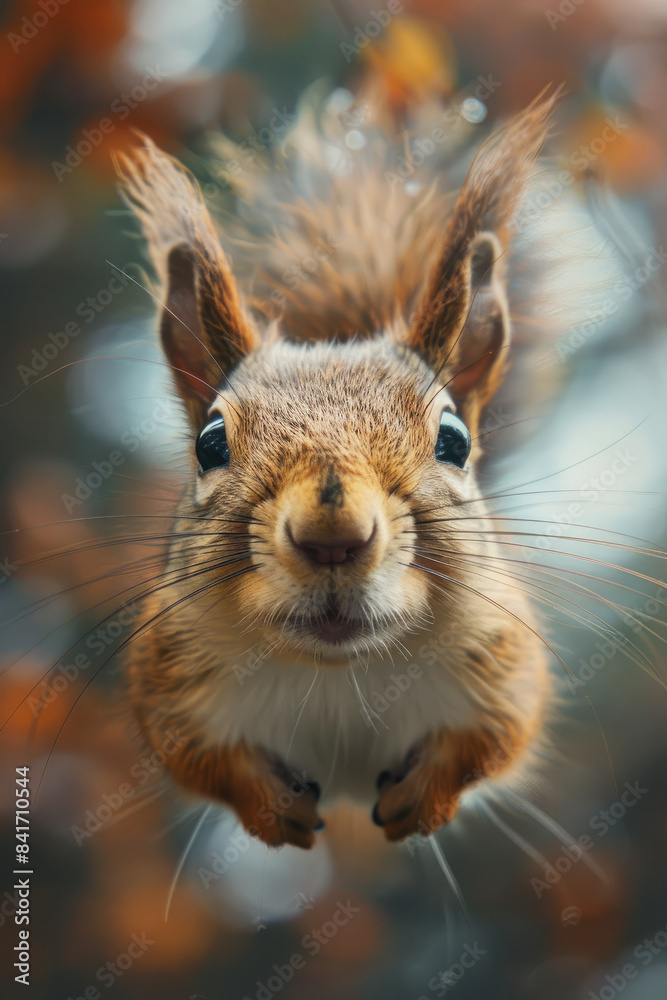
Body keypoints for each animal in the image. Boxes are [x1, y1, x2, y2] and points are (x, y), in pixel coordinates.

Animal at [116, 89, 557, 850]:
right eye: (209, 444)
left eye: (454, 440)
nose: (333, 537)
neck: (337, 675)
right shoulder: (167, 675)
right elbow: (198, 758)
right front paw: (271, 807)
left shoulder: (506, 658)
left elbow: (494, 739)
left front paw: (425, 801)